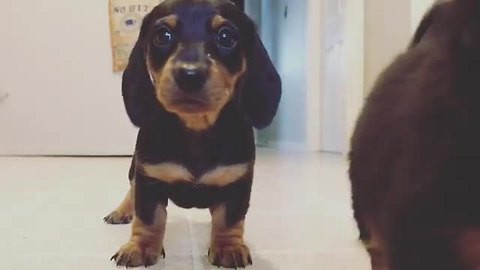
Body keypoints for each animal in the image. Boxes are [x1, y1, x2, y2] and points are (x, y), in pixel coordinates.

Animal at [101, 0, 282, 268]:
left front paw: (228, 247)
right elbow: (149, 218)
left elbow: (229, 219)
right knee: (132, 188)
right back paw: (122, 211)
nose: (189, 75)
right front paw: (140, 247)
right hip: (136, 166)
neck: (196, 127)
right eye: (162, 35)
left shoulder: (237, 182)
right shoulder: (149, 178)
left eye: (226, 37)